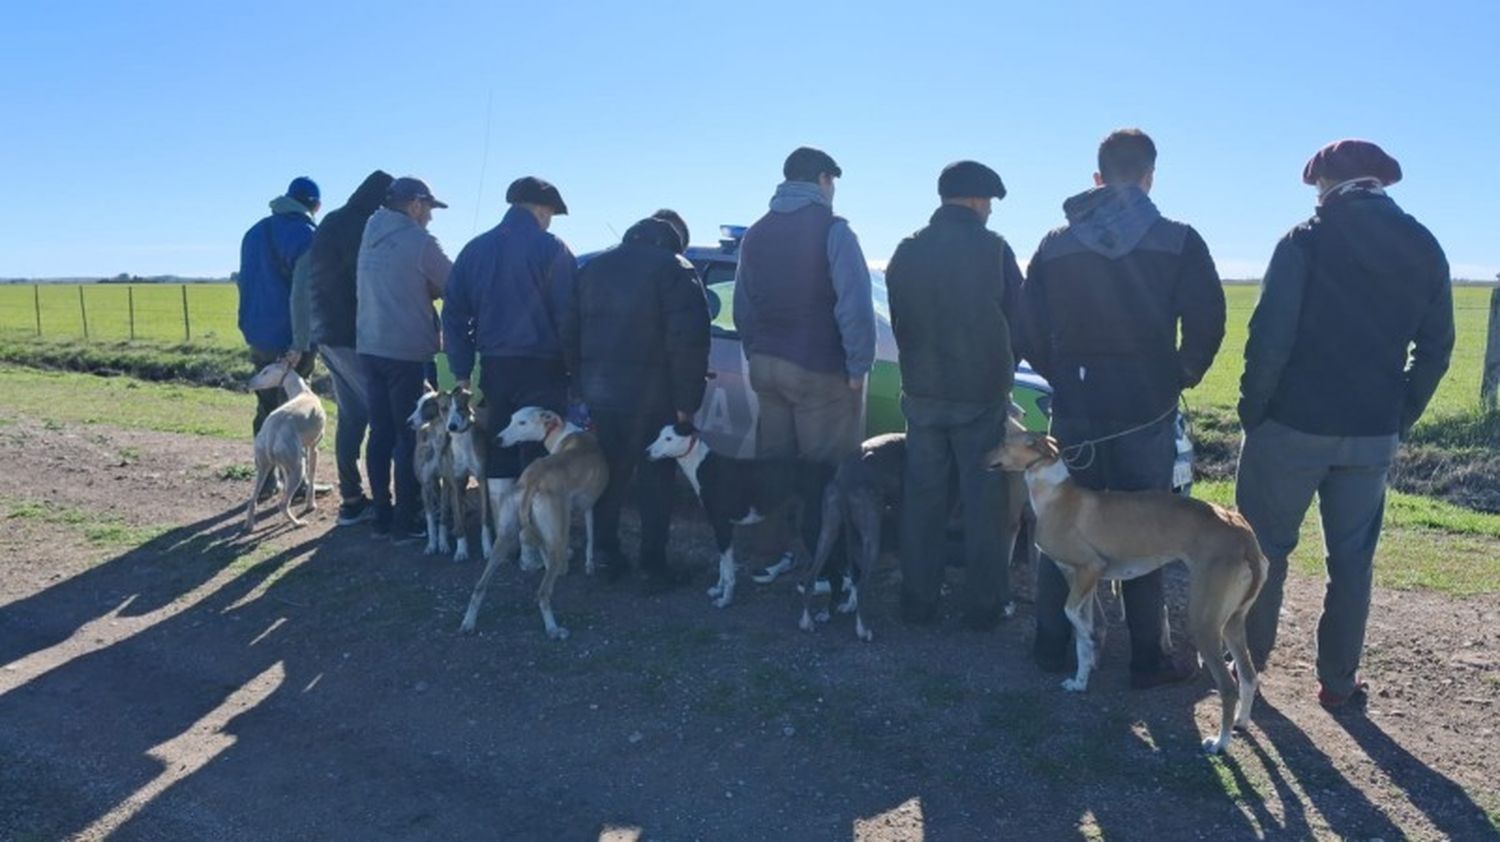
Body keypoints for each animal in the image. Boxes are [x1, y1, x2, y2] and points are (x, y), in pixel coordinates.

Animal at [243, 360, 325, 531]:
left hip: (264, 465)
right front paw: (311, 505)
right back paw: (298, 523)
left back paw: (249, 525)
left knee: (253, 500)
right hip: (297, 467)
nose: (248, 383)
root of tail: (271, 433)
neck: (303, 392)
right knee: (282, 504)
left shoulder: (284, 463)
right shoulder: (313, 448)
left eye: (265, 372)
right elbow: (312, 476)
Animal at [459, 408, 606, 636]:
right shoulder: (588, 507)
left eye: (521, 422)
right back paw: (553, 629)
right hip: (557, 542)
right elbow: (590, 536)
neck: (561, 432)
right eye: (514, 420)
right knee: (542, 594)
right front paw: (589, 565)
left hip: (504, 537)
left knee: (480, 586)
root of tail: (532, 481)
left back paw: (468, 622)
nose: (497, 439)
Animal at [645, 423, 834, 606]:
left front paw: (725, 599)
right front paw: (718, 589)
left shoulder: (722, 526)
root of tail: (827, 471)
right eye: (659, 434)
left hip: (812, 528)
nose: (646, 452)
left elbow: (728, 571)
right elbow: (723, 564)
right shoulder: (721, 527)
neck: (703, 466)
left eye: (669, 438)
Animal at [990, 429, 1272, 750]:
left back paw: (1220, 743)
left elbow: (1072, 617)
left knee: (1228, 686)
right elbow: (1082, 631)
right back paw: (1241, 721)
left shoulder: (1090, 568)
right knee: (1248, 676)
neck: (1055, 495)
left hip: (1205, 623)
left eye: (1004, 441)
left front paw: (1087, 659)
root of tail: (1244, 534)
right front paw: (1081, 679)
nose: (983, 458)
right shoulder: (1079, 578)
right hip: (1232, 621)